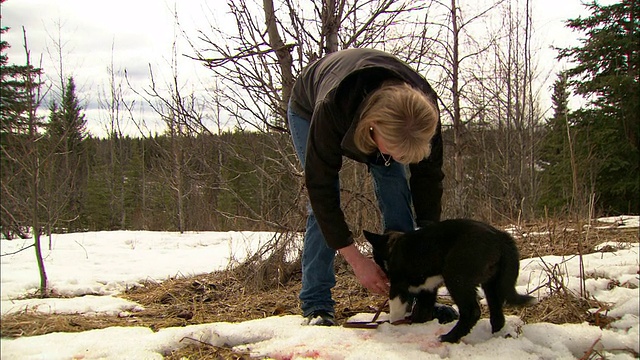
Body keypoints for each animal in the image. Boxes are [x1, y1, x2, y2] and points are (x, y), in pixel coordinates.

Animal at [364, 218, 536, 342]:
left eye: (376, 257)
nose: (384, 273)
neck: (394, 246)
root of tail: (500, 236)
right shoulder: (427, 289)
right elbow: (423, 311)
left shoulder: (398, 287)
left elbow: (395, 312)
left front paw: (394, 326)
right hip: (491, 284)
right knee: (497, 316)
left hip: (456, 277)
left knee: (472, 311)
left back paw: (449, 337)